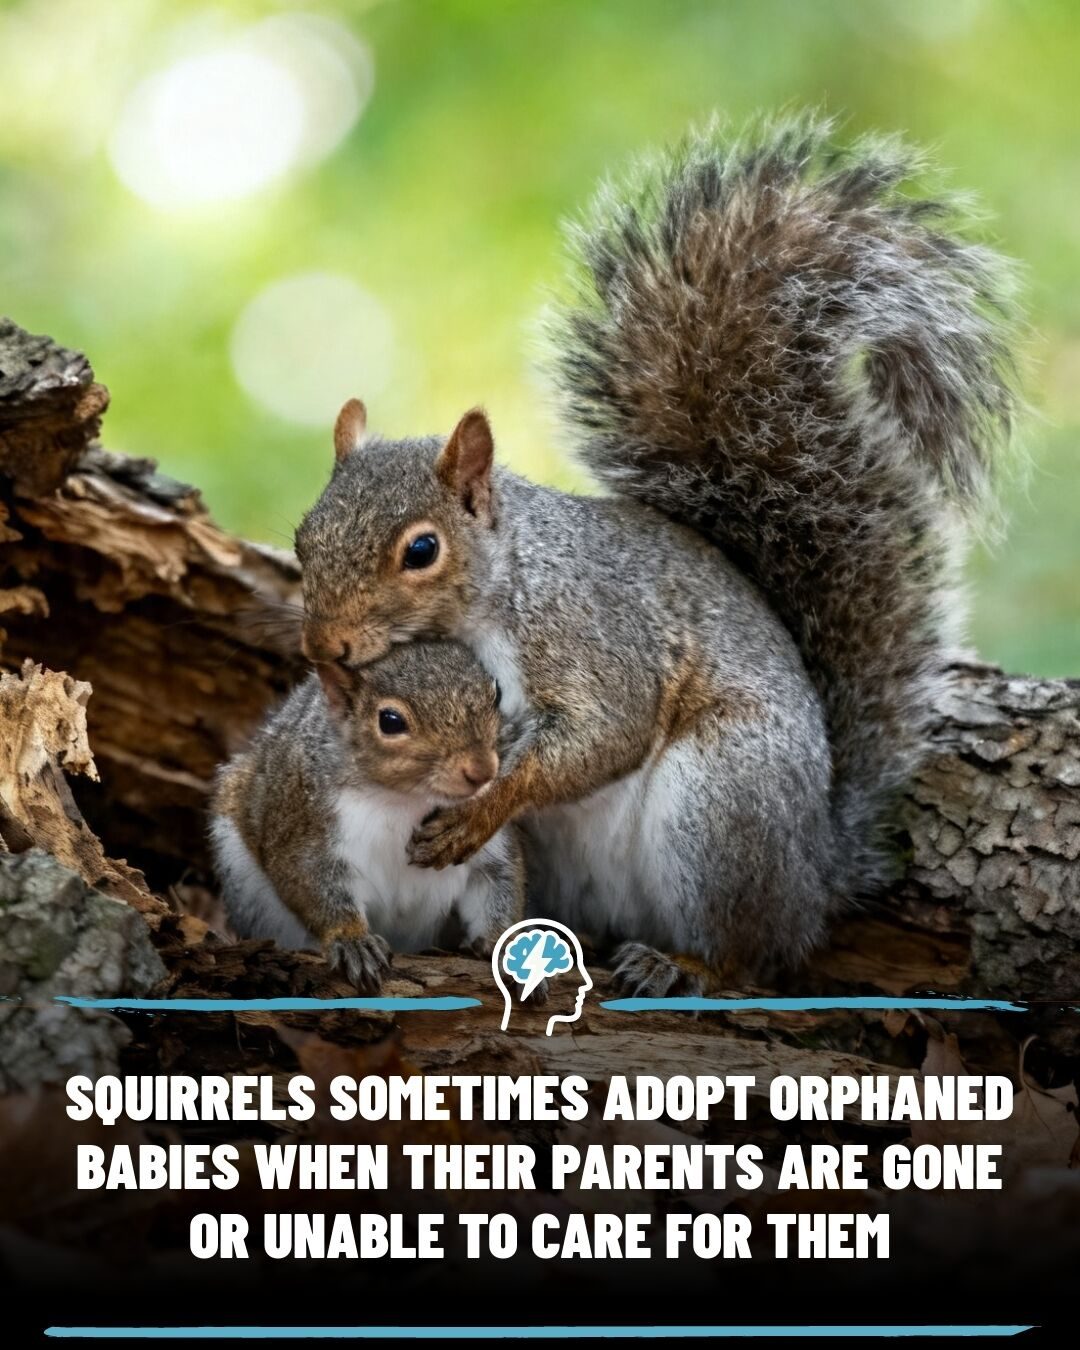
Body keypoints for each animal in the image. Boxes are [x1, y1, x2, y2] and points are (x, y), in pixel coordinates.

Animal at [209, 641, 524, 992]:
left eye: (496, 694)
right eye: (390, 721)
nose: (482, 770)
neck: (404, 801)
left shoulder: (485, 843)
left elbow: (498, 887)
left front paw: (508, 946)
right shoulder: (305, 824)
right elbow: (312, 883)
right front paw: (353, 941)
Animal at [293, 114, 1019, 996]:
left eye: (422, 550)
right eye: (302, 537)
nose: (322, 644)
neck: (502, 585)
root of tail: (813, 879)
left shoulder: (589, 632)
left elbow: (607, 731)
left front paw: (479, 813)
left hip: (719, 801)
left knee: (746, 951)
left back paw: (681, 962)